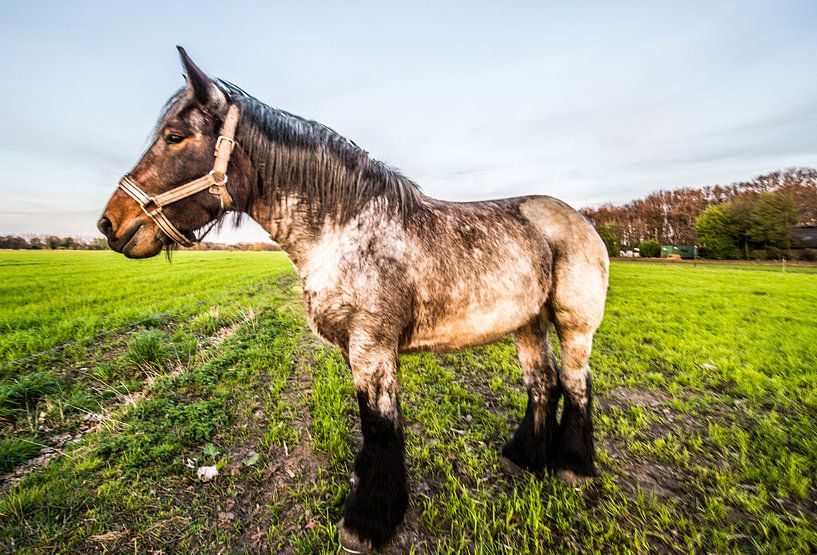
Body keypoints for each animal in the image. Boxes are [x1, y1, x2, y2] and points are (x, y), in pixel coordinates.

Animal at [97, 50, 604, 552]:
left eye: (174, 136)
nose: (109, 224)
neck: (345, 230)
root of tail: (580, 219)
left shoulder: (372, 350)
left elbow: (380, 428)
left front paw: (368, 522)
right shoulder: (353, 351)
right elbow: (370, 429)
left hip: (574, 326)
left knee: (575, 383)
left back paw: (573, 467)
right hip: (528, 324)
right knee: (542, 384)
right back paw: (524, 458)